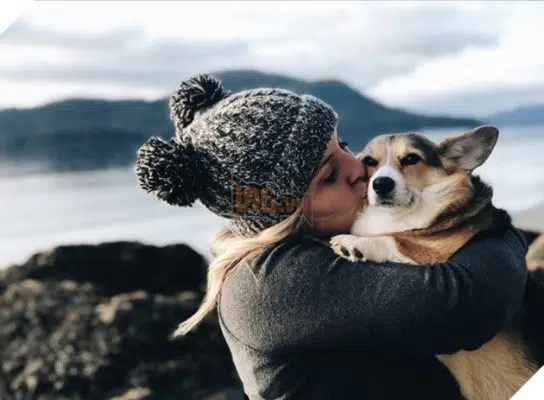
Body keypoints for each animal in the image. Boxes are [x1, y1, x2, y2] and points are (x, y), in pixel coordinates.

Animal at [332, 126, 540, 400]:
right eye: (368, 162)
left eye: (411, 158)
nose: (381, 183)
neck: (400, 215)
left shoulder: (431, 254)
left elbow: (397, 240)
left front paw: (353, 242)